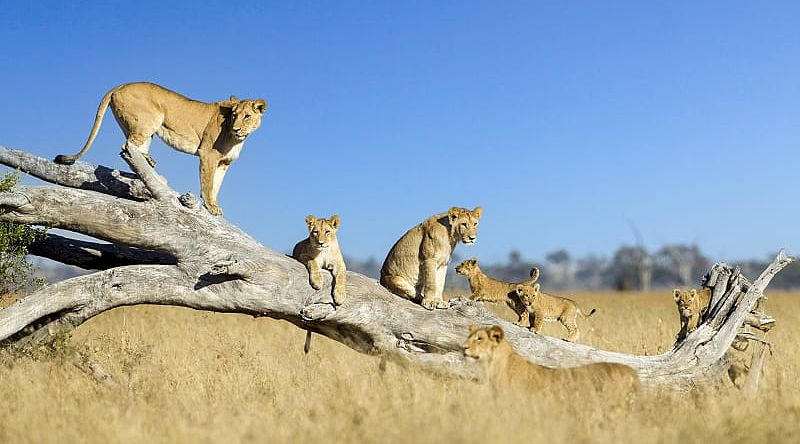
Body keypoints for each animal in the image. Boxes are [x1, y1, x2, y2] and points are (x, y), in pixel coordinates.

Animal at [55, 83, 272, 217]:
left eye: (246, 116)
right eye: (234, 115)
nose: (236, 129)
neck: (237, 139)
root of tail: (121, 85)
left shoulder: (224, 163)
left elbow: (216, 185)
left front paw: (215, 206)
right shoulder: (208, 155)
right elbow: (207, 183)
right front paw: (211, 206)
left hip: (138, 126)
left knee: (132, 144)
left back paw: (148, 161)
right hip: (149, 120)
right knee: (127, 145)